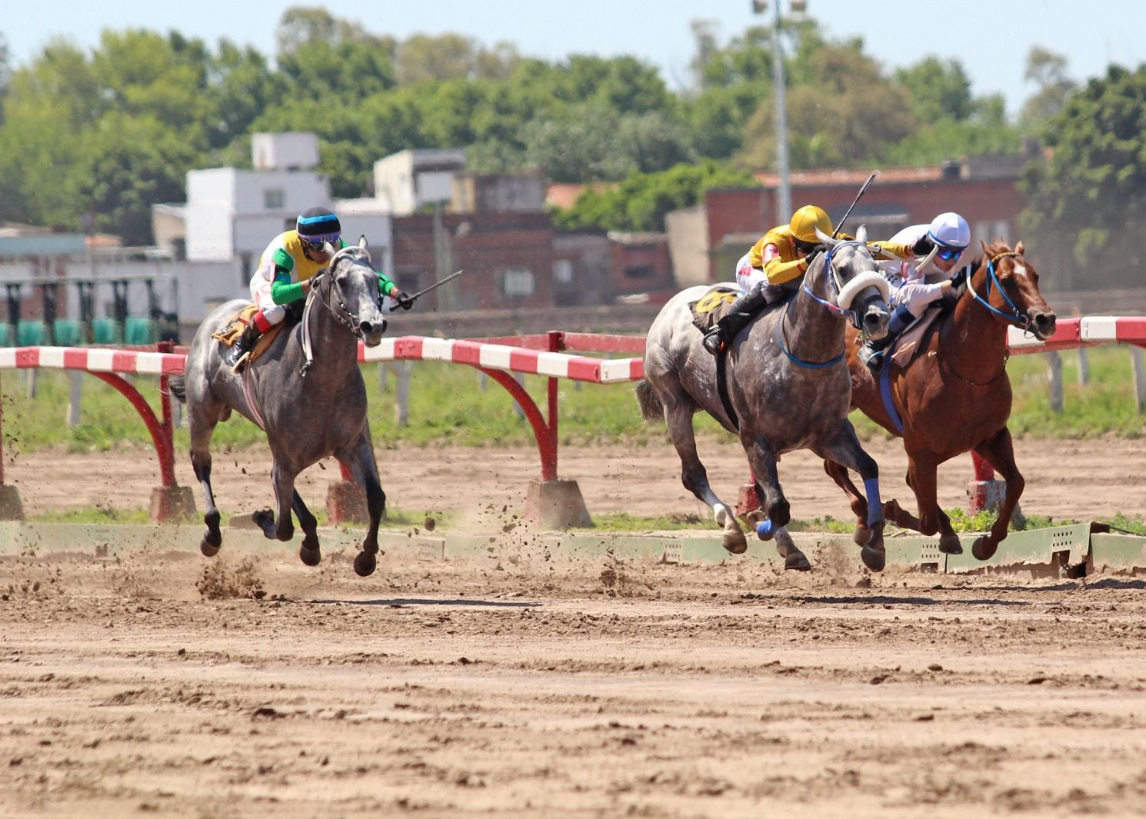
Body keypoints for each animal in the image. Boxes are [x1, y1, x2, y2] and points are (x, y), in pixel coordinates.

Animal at [169, 240, 391, 579]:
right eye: (342, 281)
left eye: (375, 279)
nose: (373, 326)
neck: (321, 380)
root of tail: (215, 314)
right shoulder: (287, 452)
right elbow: (285, 526)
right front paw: (266, 519)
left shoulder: (352, 444)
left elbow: (376, 497)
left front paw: (364, 557)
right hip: (203, 411)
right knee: (202, 464)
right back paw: (212, 532)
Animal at [637, 224, 893, 570]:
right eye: (842, 269)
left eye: (877, 267)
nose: (877, 317)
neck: (799, 354)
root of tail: (672, 303)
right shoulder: (757, 437)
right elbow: (777, 506)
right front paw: (760, 526)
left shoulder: (829, 434)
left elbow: (868, 467)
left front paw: (874, 543)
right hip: (673, 402)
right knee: (693, 474)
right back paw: (732, 529)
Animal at [825, 240, 1054, 561]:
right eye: (1007, 280)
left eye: (1035, 276)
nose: (1046, 319)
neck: (967, 373)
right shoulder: (919, 449)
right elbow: (926, 519)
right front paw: (890, 513)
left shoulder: (990, 437)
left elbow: (1016, 482)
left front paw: (986, 543)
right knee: (835, 468)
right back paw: (865, 518)